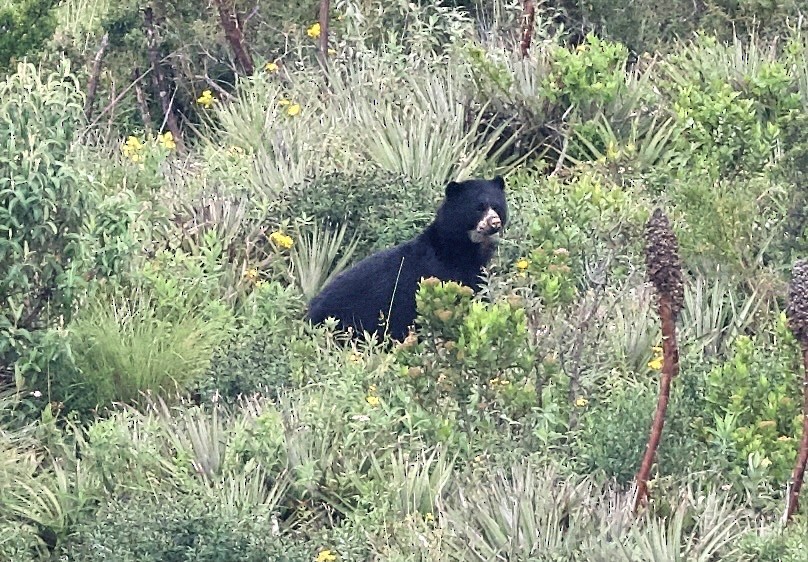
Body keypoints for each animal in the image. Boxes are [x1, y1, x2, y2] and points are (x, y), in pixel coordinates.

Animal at [306, 176, 507, 341]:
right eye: (478, 208)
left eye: (497, 206)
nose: (495, 222)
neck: (464, 249)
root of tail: (309, 313)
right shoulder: (439, 273)